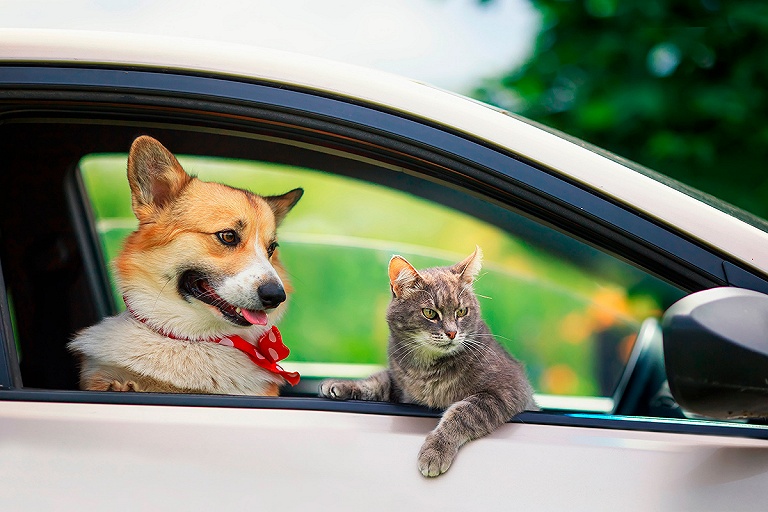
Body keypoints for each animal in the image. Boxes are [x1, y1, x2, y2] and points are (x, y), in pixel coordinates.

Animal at [318, 246, 536, 478]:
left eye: (461, 311)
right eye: (430, 313)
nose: (452, 332)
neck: (426, 367)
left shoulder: (508, 389)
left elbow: (462, 413)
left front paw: (436, 451)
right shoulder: (401, 386)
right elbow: (377, 381)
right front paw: (341, 384)